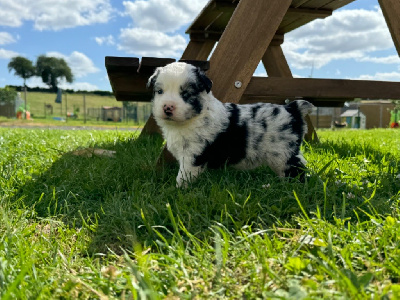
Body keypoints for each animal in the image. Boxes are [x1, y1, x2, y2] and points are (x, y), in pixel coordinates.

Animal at [148, 62, 314, 186]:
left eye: (186, 94)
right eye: (160, 91)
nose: (167, 107)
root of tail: (292, 108)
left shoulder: (192, 156)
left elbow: (183, 176)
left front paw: (178, 190)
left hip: (283, 153)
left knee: (296, 170)